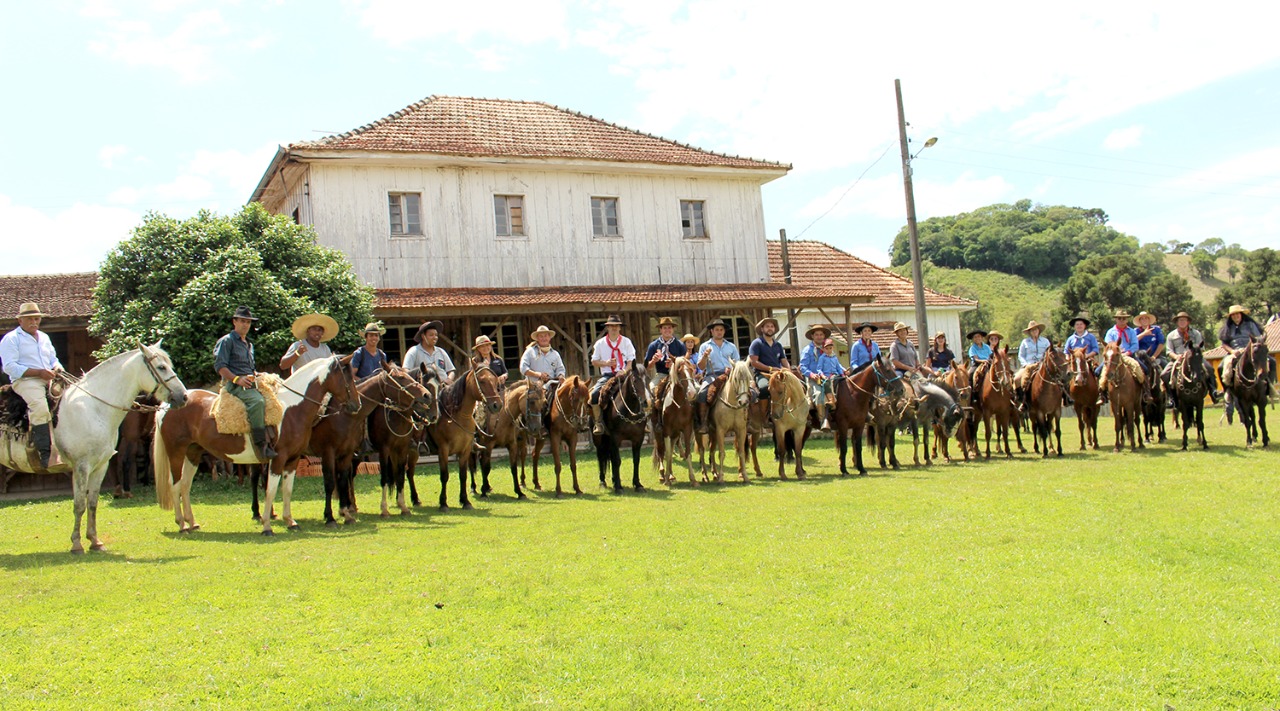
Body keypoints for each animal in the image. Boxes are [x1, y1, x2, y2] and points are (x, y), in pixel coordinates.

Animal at [0, 343, 186, 553]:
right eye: (161, 367)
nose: (183, 396)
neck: (94, 409)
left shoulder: (100, 466)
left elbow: (92, 503)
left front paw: (95, 541)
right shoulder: (82, 466)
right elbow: (80, 504)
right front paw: (76, 544)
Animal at [154, 353, 358, 532]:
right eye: (348, 379)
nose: (357, 405)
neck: (292, 408)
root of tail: (167, 405)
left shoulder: (292, 460)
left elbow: (287, 490)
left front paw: (290, 521)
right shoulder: (278, 459)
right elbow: (271, 490)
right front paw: (267, 526)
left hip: (193, 453)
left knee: (185, 485)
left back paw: (192, 522)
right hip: (176, 452)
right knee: (175, 484)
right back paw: (182, 525)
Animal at [422, 363, 496, 509]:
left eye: (495, 380)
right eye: (482, 381)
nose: (497, 404)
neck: (457, 416)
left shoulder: (465, 449)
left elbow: (463, 475)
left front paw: (465, 501)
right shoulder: (443, 450)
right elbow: (444, 475)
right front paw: (443, 503)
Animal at [591, 361, 650, 494]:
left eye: (647, 379)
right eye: (635, 380)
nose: (645, 402)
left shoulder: (638, 438)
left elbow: (636, 460)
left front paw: (638, 484)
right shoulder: (615, 438)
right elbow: (617, 460)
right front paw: (618, 486)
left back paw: (613, 479)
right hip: (598, 439)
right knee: (600, 457)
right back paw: (603, 482)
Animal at [650, 358, 701, 486]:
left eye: (691, 370)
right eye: (679, 372)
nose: (692, 393)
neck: (678, 405)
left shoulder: (687, 429)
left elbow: (687, 453)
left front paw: (693, 479)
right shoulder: (666, 430)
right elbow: (667, 454)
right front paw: (666, 480)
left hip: (675, 434)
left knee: (671, 450)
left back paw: (671, 475)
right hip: (659, 432)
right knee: (661, 451)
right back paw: (663, 475)